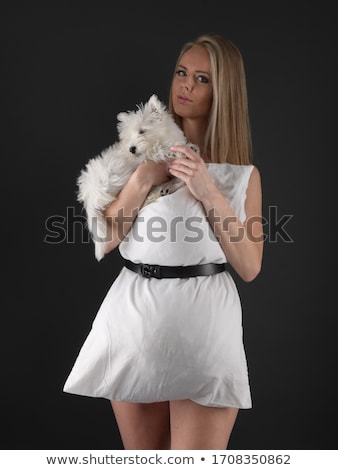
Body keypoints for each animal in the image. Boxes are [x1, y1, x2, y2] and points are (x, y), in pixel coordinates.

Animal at [76, 92, 198, 260]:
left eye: (141, 131)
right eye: (128, 137)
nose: (131, 149)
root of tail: (88, 195)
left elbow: (179, 177)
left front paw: (190, 149)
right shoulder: (149, 157)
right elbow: (160, 152)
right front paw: (175, 152)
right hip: (115, 174)